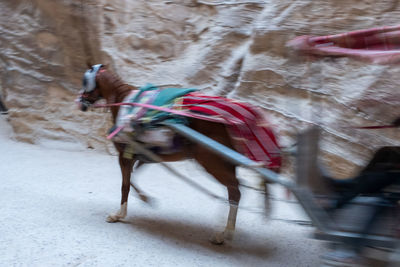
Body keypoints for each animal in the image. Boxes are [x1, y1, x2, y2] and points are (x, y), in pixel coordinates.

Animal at [78, 65, 278, 245]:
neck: (126, 104)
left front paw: (119, 214)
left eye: (85, 82)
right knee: (234, 189)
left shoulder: (124, 157)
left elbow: (125, 186)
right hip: (222, 163)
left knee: (234, 191)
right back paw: (225, 229)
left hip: (212, 162)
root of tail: (228, 123)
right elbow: (133, 180)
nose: (80, 102)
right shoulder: (141, 157)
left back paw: (225, 233)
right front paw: (145, 198)